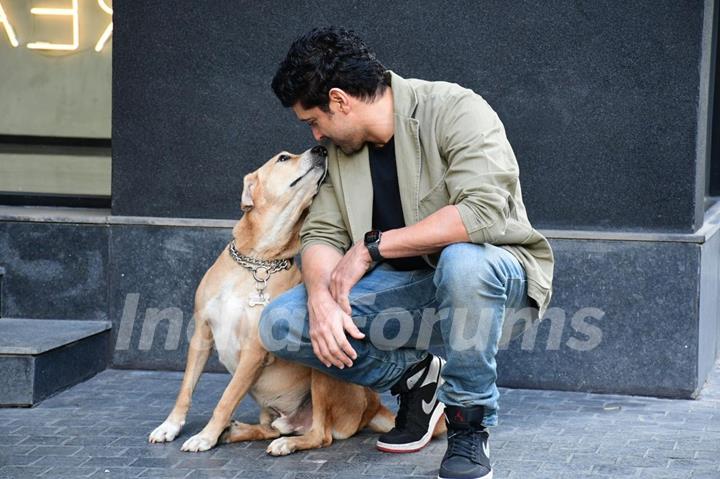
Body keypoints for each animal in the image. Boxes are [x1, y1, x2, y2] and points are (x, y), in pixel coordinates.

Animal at [147, 147, 394, 458]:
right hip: (272, 408)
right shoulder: (201, 334)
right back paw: (239, 431)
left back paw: (286, 443)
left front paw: (205, 436)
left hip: (322, 373)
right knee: (272, 427)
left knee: (320, 435)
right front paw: (171, 426)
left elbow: (226, 398)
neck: (258, 261)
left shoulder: (254, 350)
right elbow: (185, 389)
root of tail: (372, 404)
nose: (321, 149)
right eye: (283, 158)